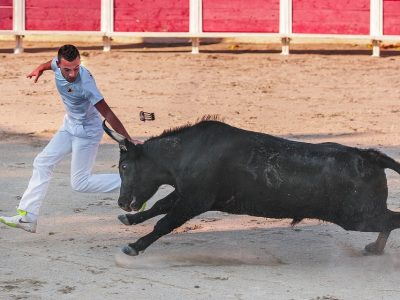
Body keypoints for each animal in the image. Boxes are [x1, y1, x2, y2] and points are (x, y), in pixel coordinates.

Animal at [104, 118, 400, 256]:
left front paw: (133, 246)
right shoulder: (185, 193)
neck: (186, 152)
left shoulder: (195, 200)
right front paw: (129, 219)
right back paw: (374, 249)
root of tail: (368, 155)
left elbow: (164, 223)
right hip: (363, 215)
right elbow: (159, 205)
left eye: (124, 167)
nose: (122, 202)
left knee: (392, 219)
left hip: (358, 216)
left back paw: (376, 249)